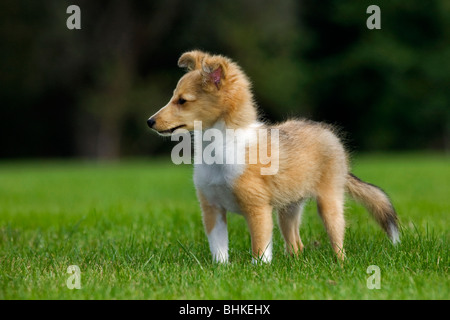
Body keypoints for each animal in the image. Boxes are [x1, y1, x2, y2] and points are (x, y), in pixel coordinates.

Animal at [146, 50, 400, 264]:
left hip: (329, 201)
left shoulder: (257, 208)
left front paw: (259, 271)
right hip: (288, 208)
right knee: (296, 243)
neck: (220, 148)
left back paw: (340, 263)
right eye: (174, 97)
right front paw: (221, 270)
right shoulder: (212, 208)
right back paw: (294, 262)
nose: (149, 122)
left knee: (337, 239)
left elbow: (260, 247)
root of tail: (327, 132)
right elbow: (219, 248)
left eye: (182, 100)